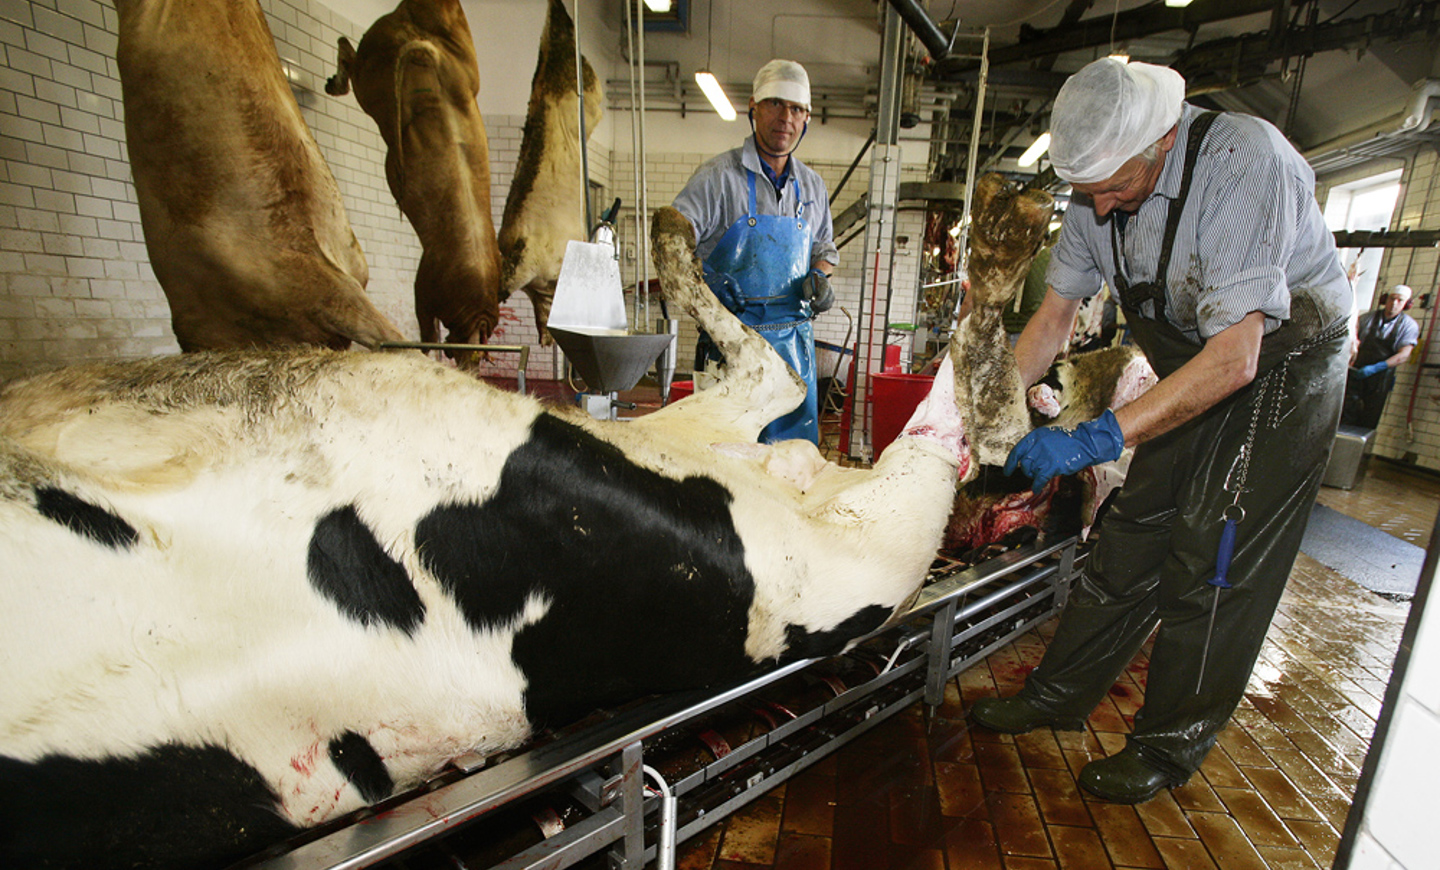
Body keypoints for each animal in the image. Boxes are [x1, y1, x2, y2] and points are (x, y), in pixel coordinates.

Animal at [327, 0, 502, 359]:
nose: (467, 363)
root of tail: (423, 45)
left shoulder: (424, 285)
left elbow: (427, 329)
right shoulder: (426, 286)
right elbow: (426, 331)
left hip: (378, 68)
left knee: (351, 54)